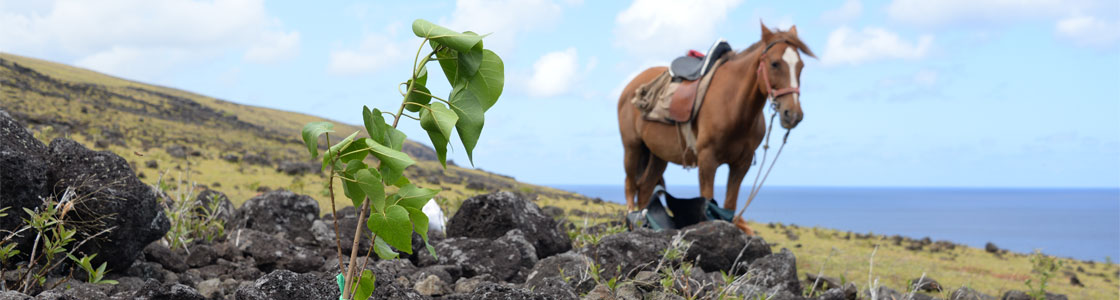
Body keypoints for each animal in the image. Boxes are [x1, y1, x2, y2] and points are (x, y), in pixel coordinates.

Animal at [618, 24, 819, 233]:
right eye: (774, 64)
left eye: (801, 66)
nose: (793, 114)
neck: (733, 107)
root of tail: (630, 85)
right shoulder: (707, 159)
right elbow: (707, 201)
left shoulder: (742, 163)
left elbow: (729, 205)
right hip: (632, 148)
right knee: (630, 185)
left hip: (658, 156)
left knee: (645, 188)